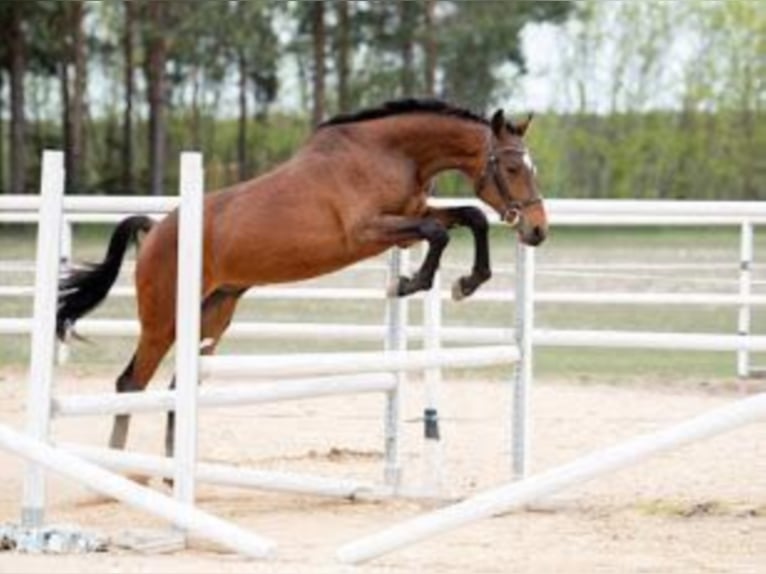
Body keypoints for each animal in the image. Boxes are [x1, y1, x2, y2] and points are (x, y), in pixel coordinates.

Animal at [57, 100, 548, 460]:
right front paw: (411, 284)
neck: (391, 154)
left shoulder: (409, 217)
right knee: (130, 384)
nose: (538, 231)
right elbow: (440, 231)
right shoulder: (366, 232)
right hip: (164, 320)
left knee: (179, 386)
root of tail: (156, 228)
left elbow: (469, 218)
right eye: (511, 169)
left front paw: (467, 282)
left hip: (214, 312)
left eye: (532, 169)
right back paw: (120, 467)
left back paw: (168, 467)